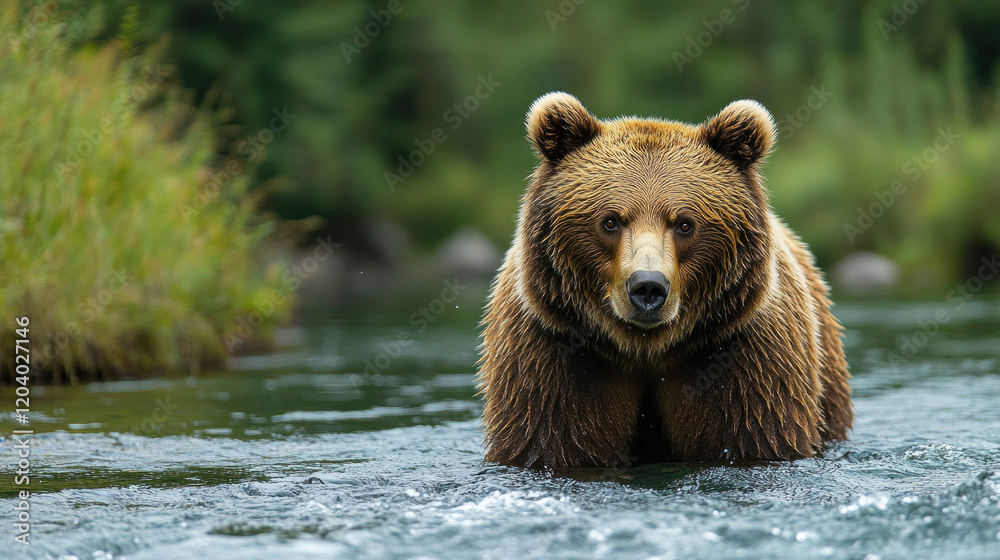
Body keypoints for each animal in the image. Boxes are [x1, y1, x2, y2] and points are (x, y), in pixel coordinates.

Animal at [477, 92, 852, 469]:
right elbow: (553, 437)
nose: (647, 286)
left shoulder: (741, 355)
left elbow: (753, 432)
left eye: (685, 223)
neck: (646, 350)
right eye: (610, 220)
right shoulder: (553, 353)